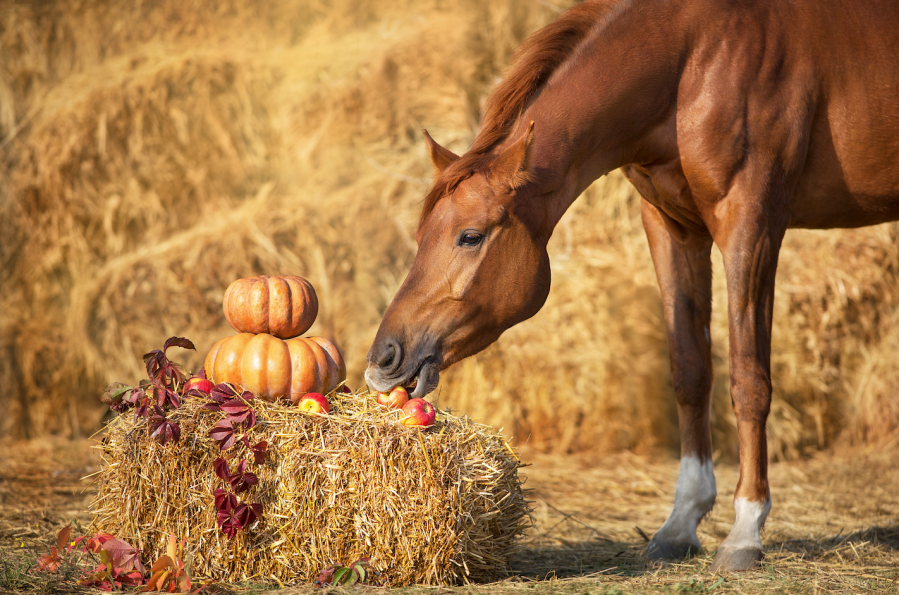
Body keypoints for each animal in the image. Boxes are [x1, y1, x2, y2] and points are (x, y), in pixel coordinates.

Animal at [362, 0, 899, 572]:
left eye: (470, 236)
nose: (383, 359)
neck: (700, 59)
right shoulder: (671, 225)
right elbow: (690, 372)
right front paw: (681, 524)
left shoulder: (750, 224)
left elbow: (748, 379)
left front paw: (745, 530)